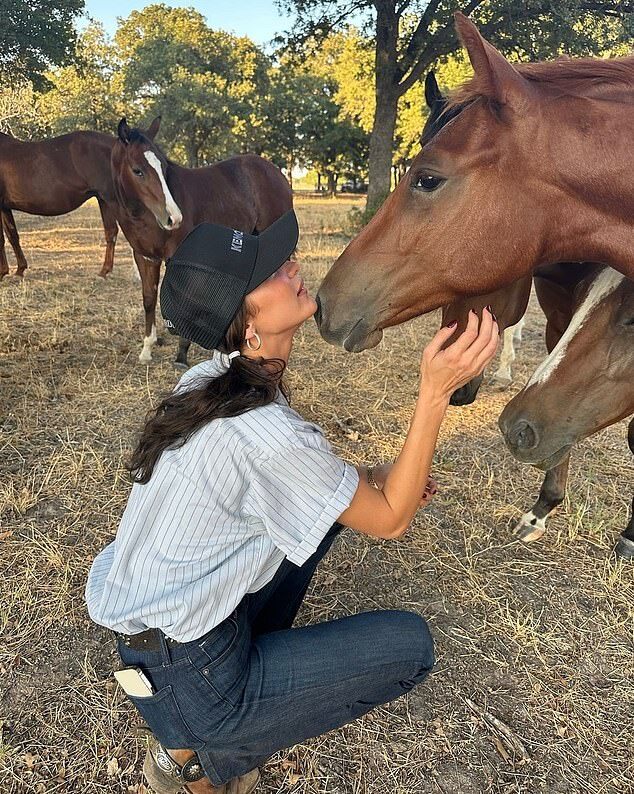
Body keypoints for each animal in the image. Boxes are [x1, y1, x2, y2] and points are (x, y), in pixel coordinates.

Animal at [0, 131, 118, 278]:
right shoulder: (4, 207)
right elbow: (12, 235)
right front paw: (19, 270)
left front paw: (3, 272)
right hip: (104, 200)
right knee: (111, 232)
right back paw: (105, 271)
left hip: (111, 200)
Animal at [110, 116, 292, 366]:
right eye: (137, 171)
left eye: (164, 168)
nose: (173, 217)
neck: (143, 216)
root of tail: (276, 173)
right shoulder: (144, 256)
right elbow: (148, 298)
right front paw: (147, 349)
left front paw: (181, 354)